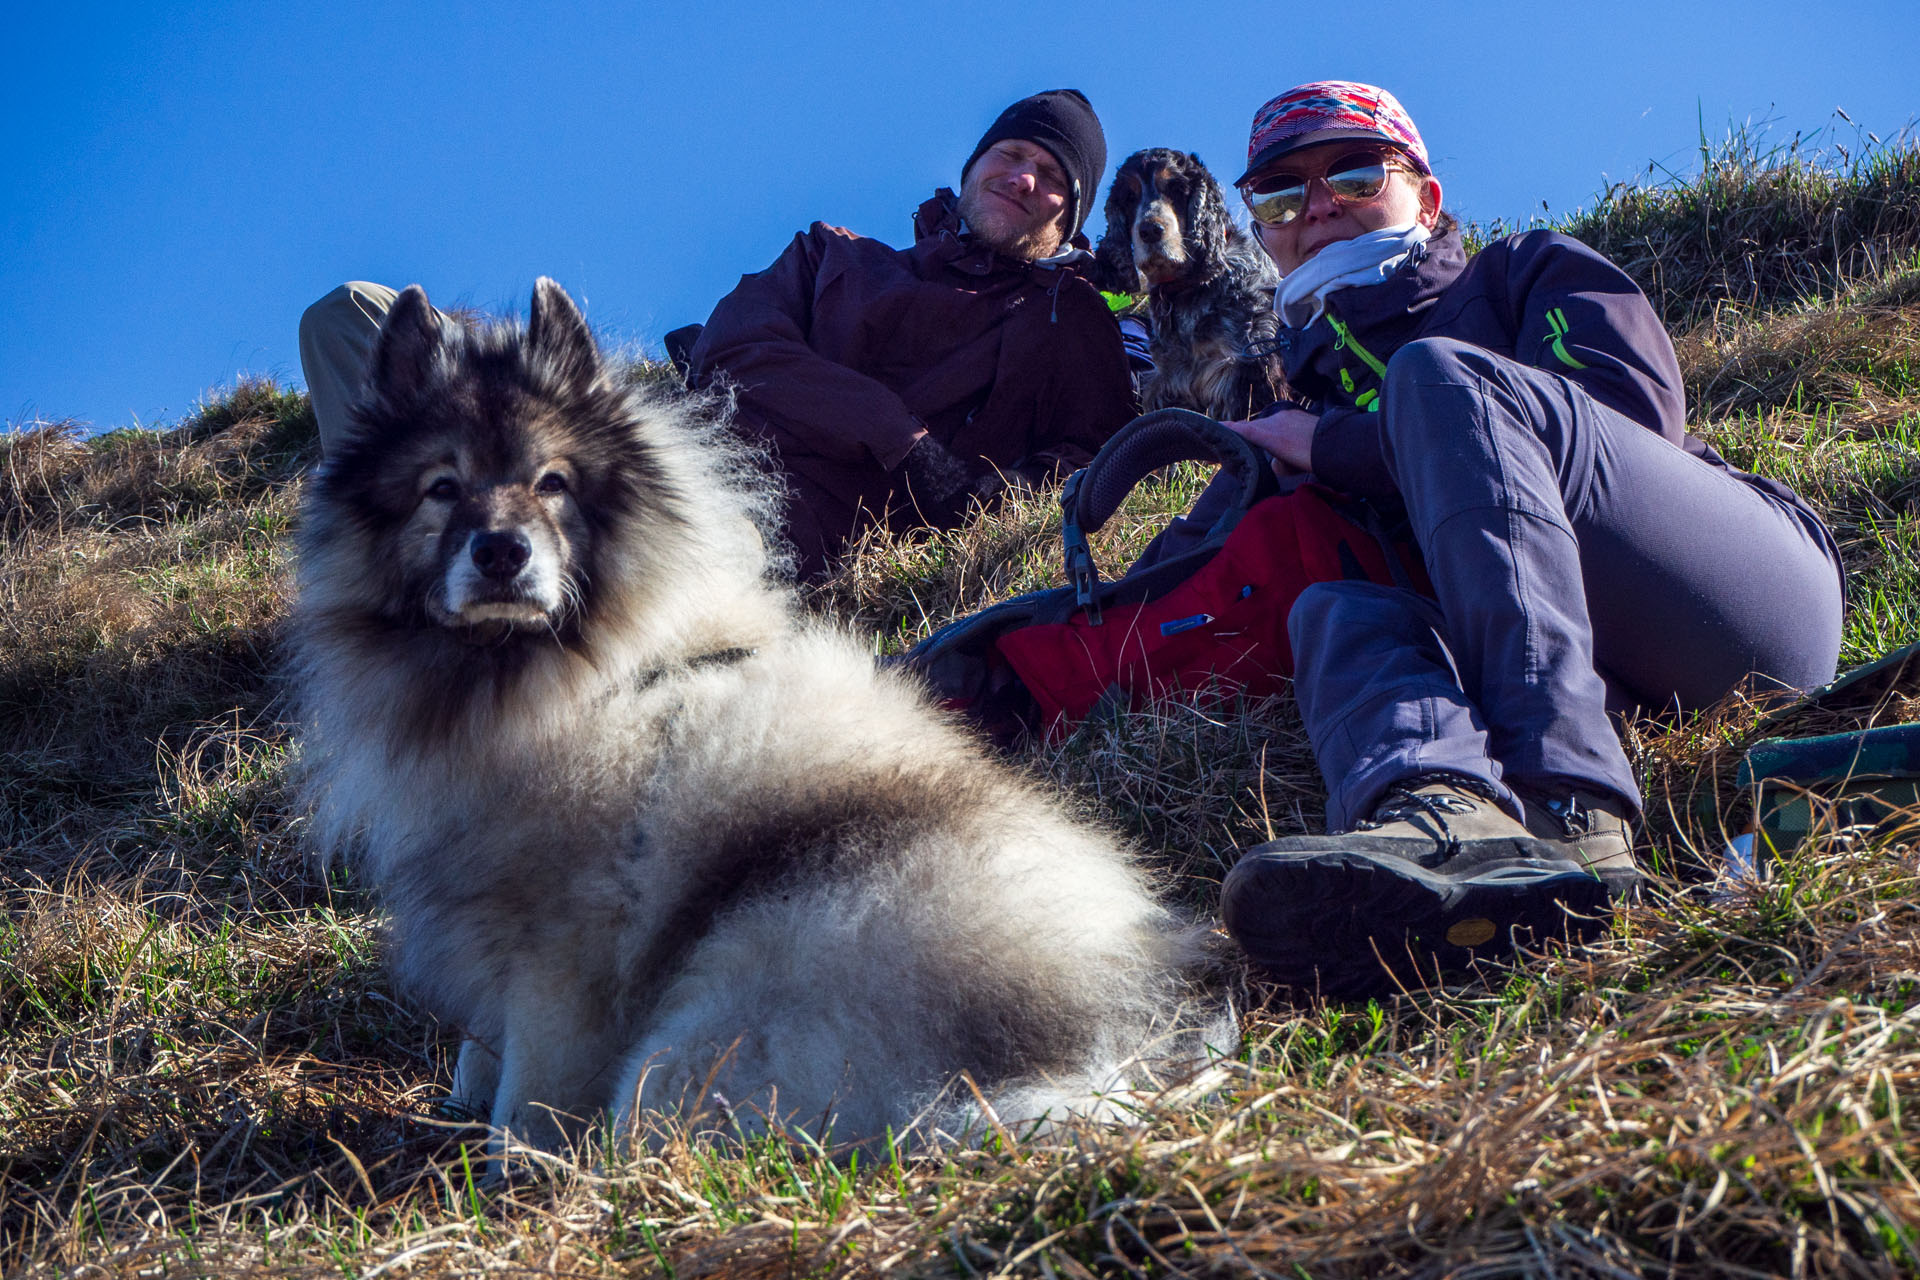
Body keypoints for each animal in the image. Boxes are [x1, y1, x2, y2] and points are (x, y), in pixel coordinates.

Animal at [295, 280, 1228, 1159]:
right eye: (441, 489)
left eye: (552, 484)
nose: (501, 552)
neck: (569, 681)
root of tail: (1089, 1057)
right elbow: (478, 1059)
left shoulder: (561, 969)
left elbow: (524, 1109)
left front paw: (510, 1188)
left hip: (674, 1065)